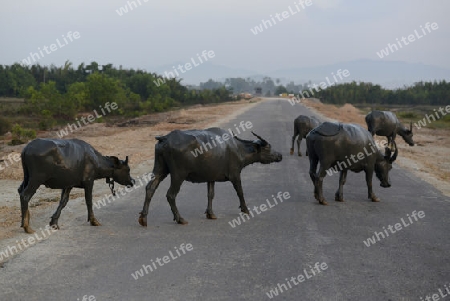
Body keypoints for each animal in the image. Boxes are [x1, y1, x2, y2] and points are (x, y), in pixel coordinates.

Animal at [139, 126, 284, 225]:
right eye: (268, 148)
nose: (280, 155)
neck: (237, 148)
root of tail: (165, 138)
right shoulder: (235, 175)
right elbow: (240, 192)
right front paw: (245, 209)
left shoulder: (211, 178)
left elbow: (210, 194)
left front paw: (211, 213)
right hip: (178, 175)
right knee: (170, 194)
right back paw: (180, 219)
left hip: (160, 170)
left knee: (150, 188)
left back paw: (143, 218)